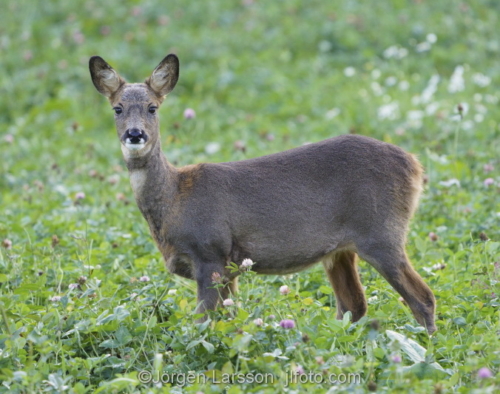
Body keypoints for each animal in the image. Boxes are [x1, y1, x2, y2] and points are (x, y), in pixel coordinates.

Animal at [90, 53, 438, 334]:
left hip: (381, 233)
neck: (174, 199)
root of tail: (415, 165)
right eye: (117, 109)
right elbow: (229, 319)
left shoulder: (210, 252)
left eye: (153, 108)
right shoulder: (229, 267)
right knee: (353, 305)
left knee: (423, 297)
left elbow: (203, 322)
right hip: (341, 250)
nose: (135, 134)